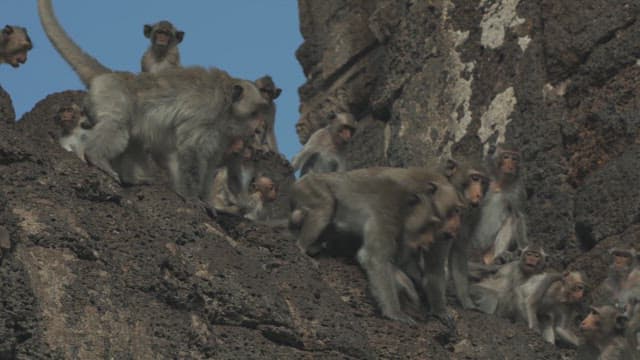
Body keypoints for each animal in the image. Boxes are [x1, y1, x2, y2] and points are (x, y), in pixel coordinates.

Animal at [37, 0, 268, 204]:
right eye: (255, 113)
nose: (258, 129)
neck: (226, 105)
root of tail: (113, 75)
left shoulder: (222, 135)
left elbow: (210, 162)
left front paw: (207, 203)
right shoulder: (206, 113)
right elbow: (190, 151)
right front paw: (193, 199)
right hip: (112, 95)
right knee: (118, 125)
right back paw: (96, 157)